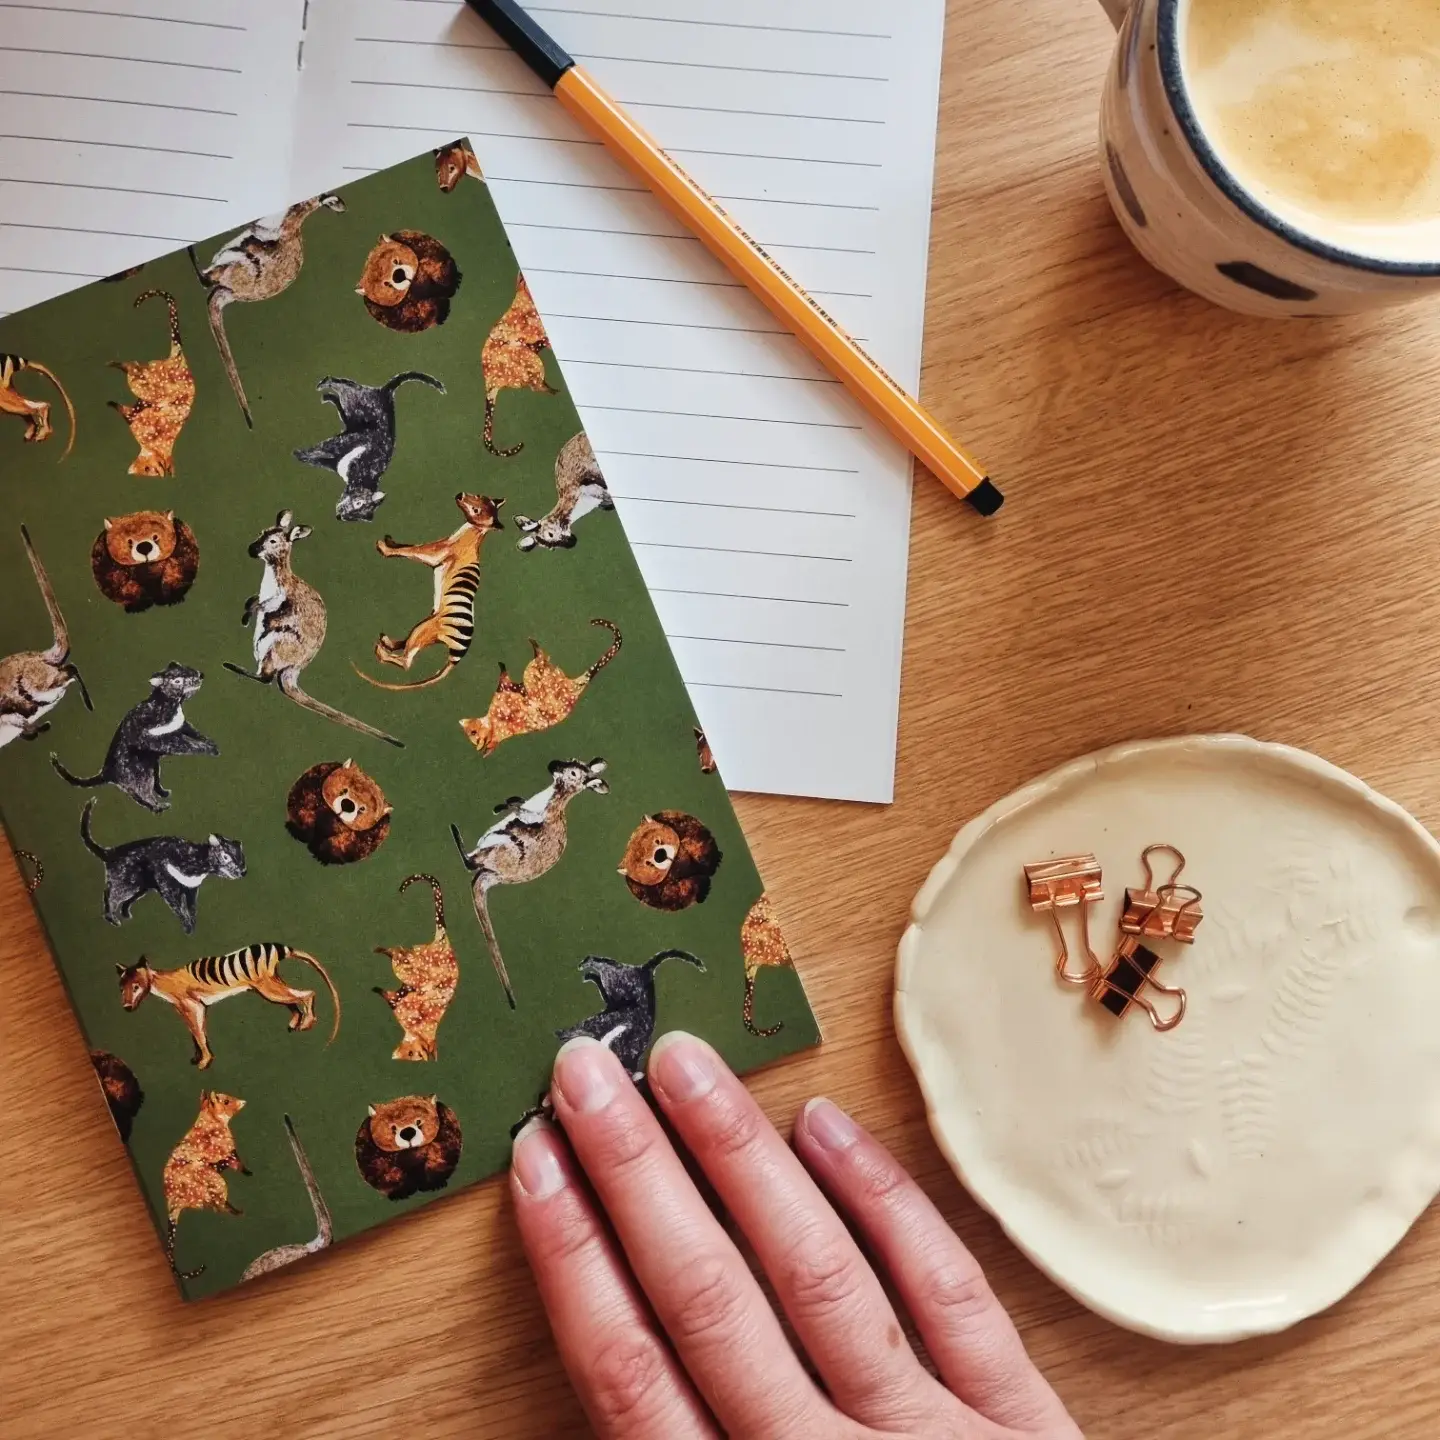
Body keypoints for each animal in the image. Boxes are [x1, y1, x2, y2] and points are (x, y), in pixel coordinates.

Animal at [81, 797, 245, 933]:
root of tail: (110, 852)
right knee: (109, 895)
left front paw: (192, 924)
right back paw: (113, 920)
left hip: (141, 887)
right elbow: (179, 909)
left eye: (242, 857)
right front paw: (188, 928)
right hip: (127, 883)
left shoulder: (191, 889)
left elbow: (191, 908)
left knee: (124, 901)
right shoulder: (168, 886)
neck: (196, 865)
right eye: (226, 857)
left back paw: (126, 915)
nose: (243, 872)